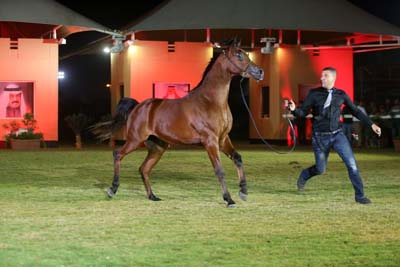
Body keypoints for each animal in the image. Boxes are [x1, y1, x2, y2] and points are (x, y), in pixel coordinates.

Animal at [103, 39, 262, 207]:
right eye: (239, 55)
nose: (260, 72)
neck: (211, 101)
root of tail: (138, 106)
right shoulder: (210, 141)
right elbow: (219, 170)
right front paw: (229, 199)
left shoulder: (223, 139)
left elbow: (237, 158)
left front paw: (243, 192)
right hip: (135, 140)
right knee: (118, 155)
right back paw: (112, 189)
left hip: (158, 147)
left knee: (144, 169)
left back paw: (152, 196)